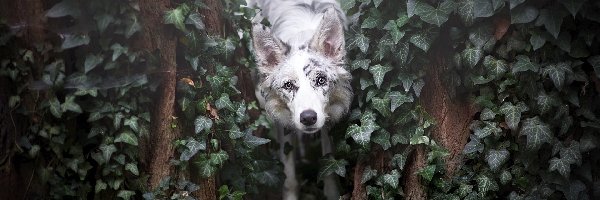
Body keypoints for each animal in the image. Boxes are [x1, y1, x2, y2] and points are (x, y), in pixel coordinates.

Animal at [247, 0, 352, 199]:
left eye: (321, 80)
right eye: (288, 85)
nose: (308, 118)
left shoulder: (327, 116)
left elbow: (329, 164)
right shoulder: (283, 118)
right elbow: (288, 174)